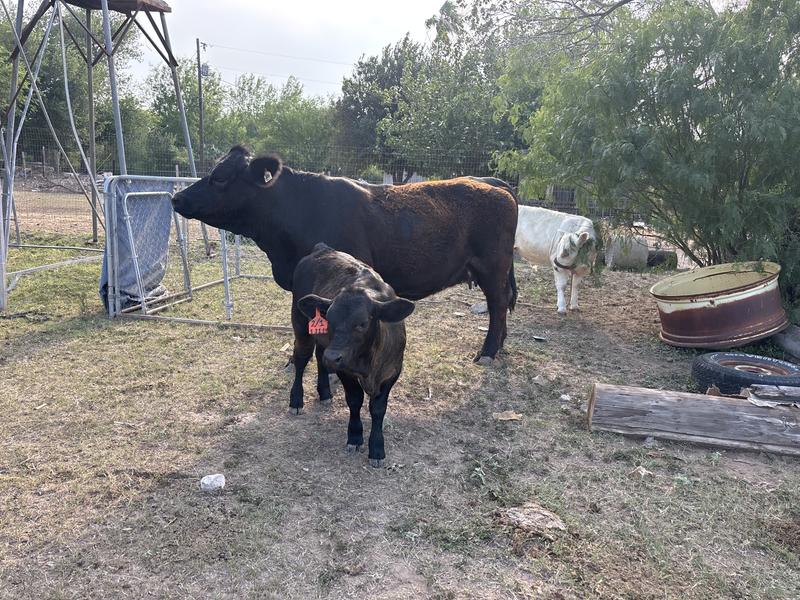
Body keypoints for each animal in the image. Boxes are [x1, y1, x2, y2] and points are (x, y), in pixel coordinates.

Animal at [171, 146, 518, 360]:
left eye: (220, 177)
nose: (176, 198)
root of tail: (496, 185)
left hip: (492, 268)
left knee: (498, 306)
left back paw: (487, 352)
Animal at [293, 243, 414, 467]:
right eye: (330, 319)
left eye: (362, 323)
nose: (333, 357)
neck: (369, 366)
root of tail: (322, 249)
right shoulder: (345, 370)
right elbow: (355, 399)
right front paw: (355, 437)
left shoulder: (393, 371)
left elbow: (378, 408)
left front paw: (377, 448)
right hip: (300, 325)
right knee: (301, 358)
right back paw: (296, 401)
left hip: (323, 343)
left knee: (319, 356)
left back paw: (324, 392)